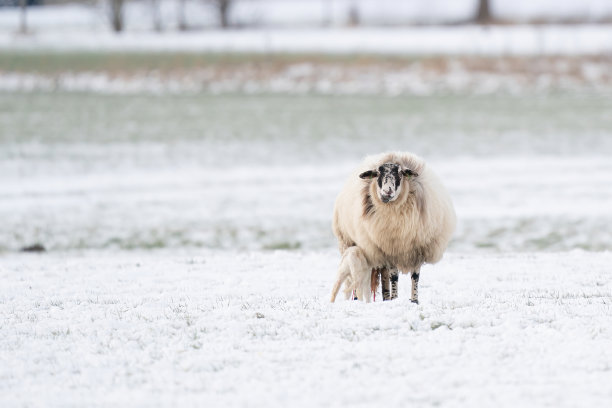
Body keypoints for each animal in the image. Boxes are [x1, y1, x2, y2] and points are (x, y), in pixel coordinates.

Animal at [330, 151, 454, 304]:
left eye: (400, 173)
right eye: (377, 173)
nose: (387, 191)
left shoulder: (417, 249)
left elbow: (415, 277)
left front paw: (414, 300)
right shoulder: (391, 248)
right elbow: (394, 276)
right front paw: (395, 297)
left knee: (383, 275)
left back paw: (386, 296)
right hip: (348, 243)